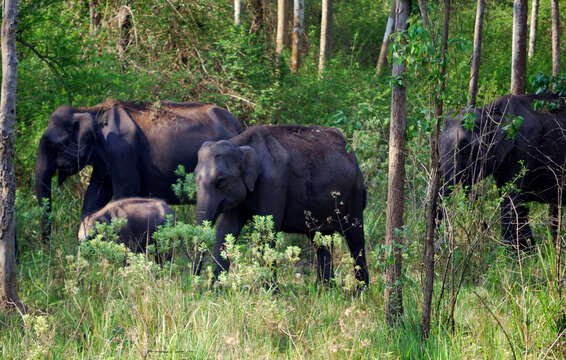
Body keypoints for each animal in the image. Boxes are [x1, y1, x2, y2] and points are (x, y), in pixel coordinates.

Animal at [33, 99, 242, 239]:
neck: (90, 111)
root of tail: (237, 125)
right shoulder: (104, 162)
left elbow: (123, 195)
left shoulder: (122, 151)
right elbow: (94, 195)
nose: (46, 246)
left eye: (53, 144)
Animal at [195, 125, 372, 286]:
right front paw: (215, 291)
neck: (239, 144)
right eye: (195, 177)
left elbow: (267, 232)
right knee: (321, 240)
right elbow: (226, 229)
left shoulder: (273, 183)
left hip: (353, 195)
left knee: (355, 238)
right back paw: (325, 289)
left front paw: (271, 292)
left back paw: (360, 291)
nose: (195, 281)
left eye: (220, 181)